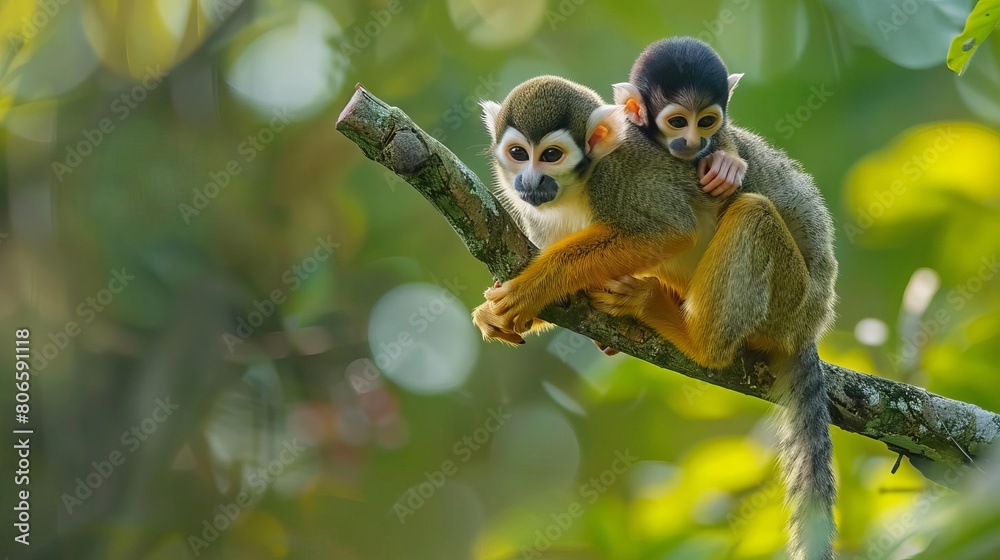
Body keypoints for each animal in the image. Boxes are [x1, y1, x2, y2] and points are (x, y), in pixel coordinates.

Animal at [473, 71, 838, 560]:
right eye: (518, 154)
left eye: (551, 155)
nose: (529, 181)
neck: (576, 188)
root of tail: (814, 322)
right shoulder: (534, 215)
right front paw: (505, 311)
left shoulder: (620, 177)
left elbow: (669, 231)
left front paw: (536, 284)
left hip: (790, 302)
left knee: (753, 212)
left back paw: (690, 334)